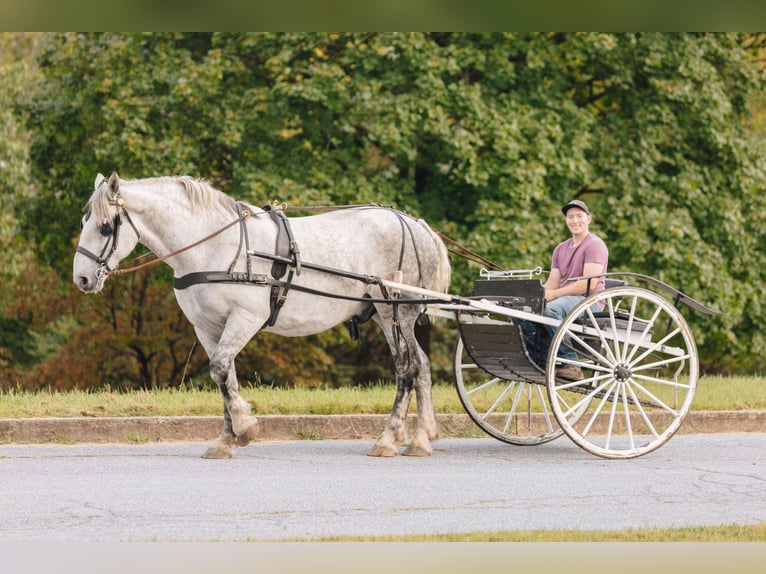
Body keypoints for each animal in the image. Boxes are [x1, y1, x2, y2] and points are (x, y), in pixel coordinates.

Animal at [73, 173, 452, 462]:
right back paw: (421, 437)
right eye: (84, 222)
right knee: (421, 364)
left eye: (105, 227)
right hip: (387, 318)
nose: (82, 279)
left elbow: (220, 369)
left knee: (407, 368)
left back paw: (389, 438)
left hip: (396, 312)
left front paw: (245, 426)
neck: (213, 246)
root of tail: (416, 225)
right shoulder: (207, 328)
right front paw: (227, 439)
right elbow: (224, 375)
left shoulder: (245, 317)